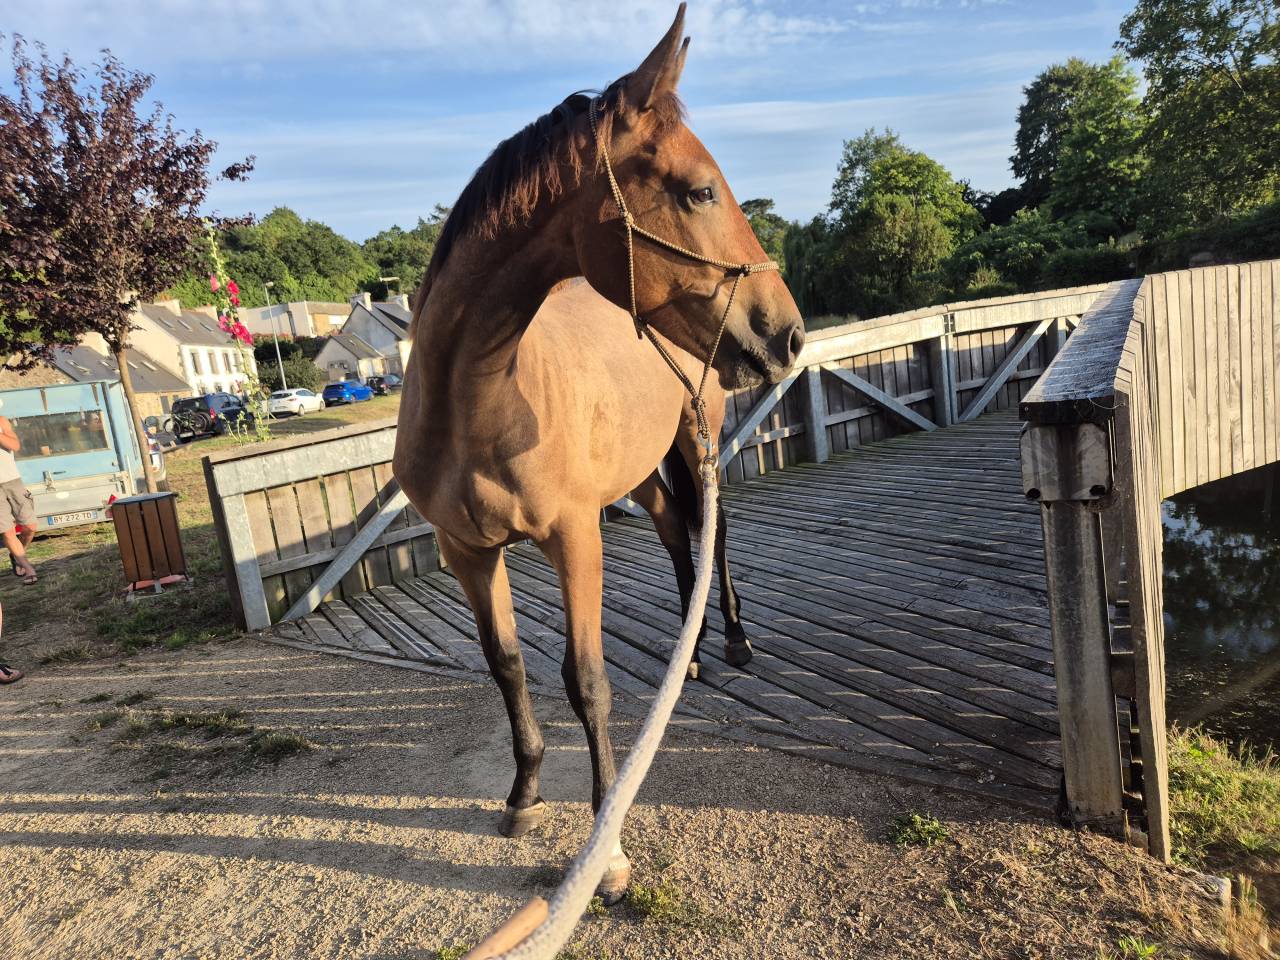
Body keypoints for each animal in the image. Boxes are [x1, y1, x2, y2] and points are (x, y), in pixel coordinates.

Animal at [393, 4, 805, 903]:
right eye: (699, 190)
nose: (788, 332)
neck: (481, 403)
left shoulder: (573, 538)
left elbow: (587, 682)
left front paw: (605, 852)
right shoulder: (468, 552)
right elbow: (507, 666)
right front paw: (523, 794)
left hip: (696, 440)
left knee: (714, 536)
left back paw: (732, 640)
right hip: (646, 475)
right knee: (676, 535)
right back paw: (689, 658)